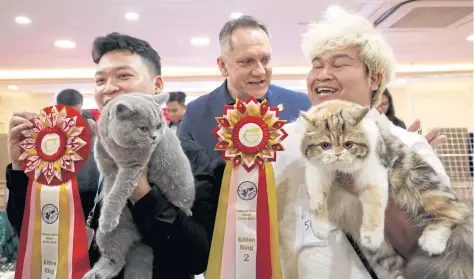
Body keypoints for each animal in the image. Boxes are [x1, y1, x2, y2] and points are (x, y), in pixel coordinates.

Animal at [84, 93, 196, 278]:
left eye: (159, 125)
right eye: (143, 128)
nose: (155, 137)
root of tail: (139, 238)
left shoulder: (134, 166)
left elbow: (118, 191)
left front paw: (108, 217)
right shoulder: (104, 153)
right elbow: (104, 164)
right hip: (109, 235)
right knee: (115, 258)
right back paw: (97, 273)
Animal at [302, 100, 472, 279]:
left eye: (348, 144)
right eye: (324, 145)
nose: (337, 155)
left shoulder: (373, 173)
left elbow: (373, 207)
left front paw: (371, 231)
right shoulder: (316, 173)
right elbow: (317, 201)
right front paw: (319, 228)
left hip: (421, 185)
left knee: (453, 212)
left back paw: (432, 241)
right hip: (381, 251)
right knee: (394, 264)